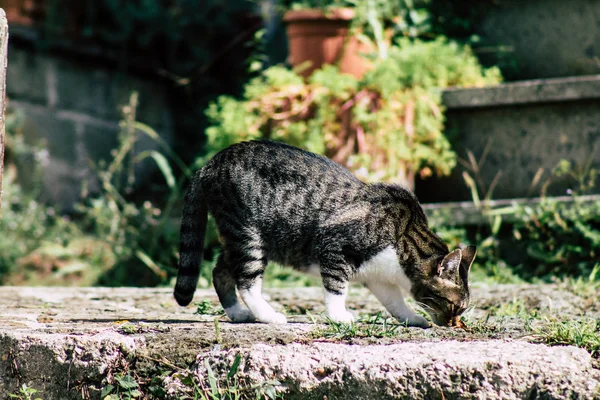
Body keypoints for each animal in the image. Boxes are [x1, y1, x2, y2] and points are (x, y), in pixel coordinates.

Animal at [175, 141, 478, 328]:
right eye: (456, 306)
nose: (455, 325)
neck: (401, 238)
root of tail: (209, 164)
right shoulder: (334, 247)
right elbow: (336, 288)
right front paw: (339, 317)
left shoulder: (379, 276)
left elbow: (394, 300)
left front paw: (411, 318)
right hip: (248, 236)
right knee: (247, 281)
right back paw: (268, 315)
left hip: (237, 239)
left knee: (219, 271)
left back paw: (238, 313)